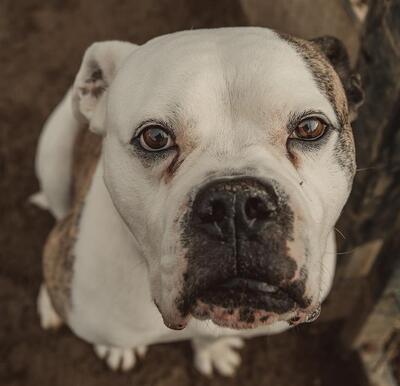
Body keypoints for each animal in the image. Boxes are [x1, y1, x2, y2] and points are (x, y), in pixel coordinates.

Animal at [32, 27, 364, 376]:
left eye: (310, 128)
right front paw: (117, 348)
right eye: (155, 137)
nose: (235, 204)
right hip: (54, 149)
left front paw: (212, 350)